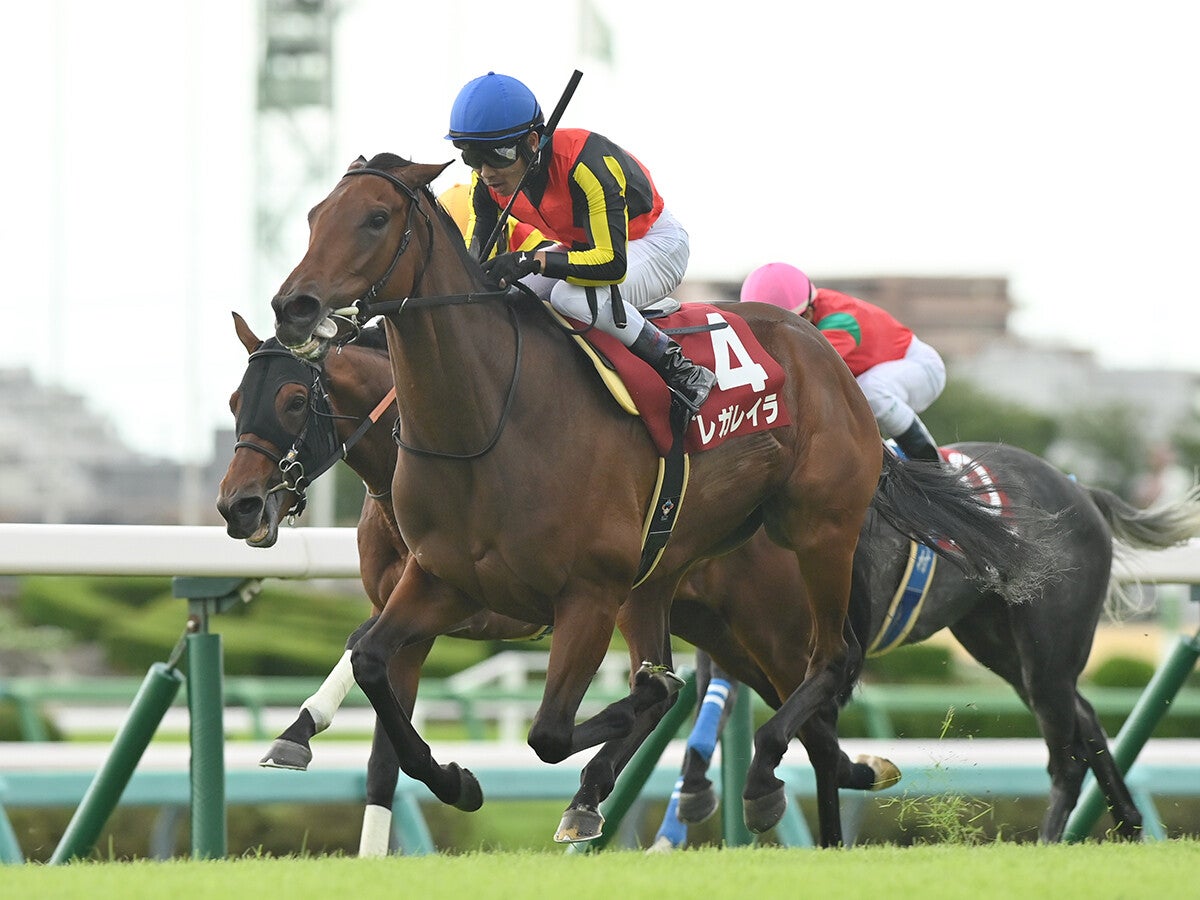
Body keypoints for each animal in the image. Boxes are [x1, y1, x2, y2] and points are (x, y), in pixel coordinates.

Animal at [266, 151, 1055, 842]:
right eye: (312, 215)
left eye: (374, 218)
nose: (292, 305)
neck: (489, 420)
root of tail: (820, 354)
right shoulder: (441, 579)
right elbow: (370, 660)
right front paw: (452, 777)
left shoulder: (586, 594)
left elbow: (551, 731)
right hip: (672, 578)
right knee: (785, 697)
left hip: (816, 536)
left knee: (829, 664)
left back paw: (760, 773)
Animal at [655, 445, 1200, 846]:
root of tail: (1079, 490)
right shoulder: (739, 652)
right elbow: (748, 722)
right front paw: (699, 791)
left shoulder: (807, 657)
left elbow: (811, 746)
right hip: (999, 645)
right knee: (1082, 719)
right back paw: (1128, 824)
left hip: (1047, 647)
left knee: (1065, 753)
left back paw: (1050, 842)